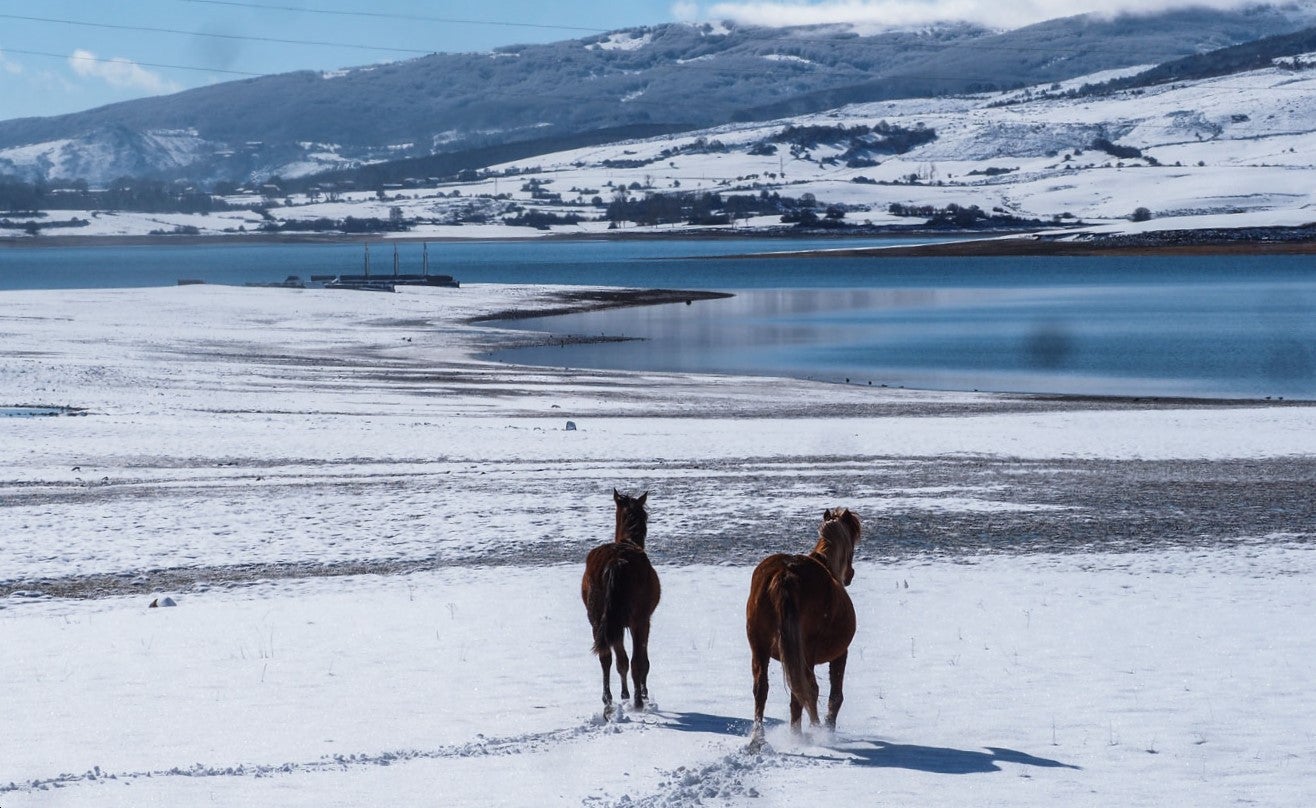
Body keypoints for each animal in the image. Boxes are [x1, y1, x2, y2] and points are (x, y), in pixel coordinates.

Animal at [581, 488, 662, 717]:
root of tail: (615, 562)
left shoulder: (614, 624)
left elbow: (621, 661)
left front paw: (624, 695)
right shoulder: (644, 621)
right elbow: (640, 661)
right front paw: (640, 694)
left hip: (598, 619)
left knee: (605, 657)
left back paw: (608, 701)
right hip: (637, 621)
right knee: (637, 662)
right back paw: (638, 702)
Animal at [746, 507, 861, 743]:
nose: (850, 575)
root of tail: (785, 574)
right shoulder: (840, 653)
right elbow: (835, 695)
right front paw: (827, 728)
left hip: (759, 647)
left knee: (762, 688)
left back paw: (758, 737)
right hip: (804, 652)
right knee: (805, 691)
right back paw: (803, 734)